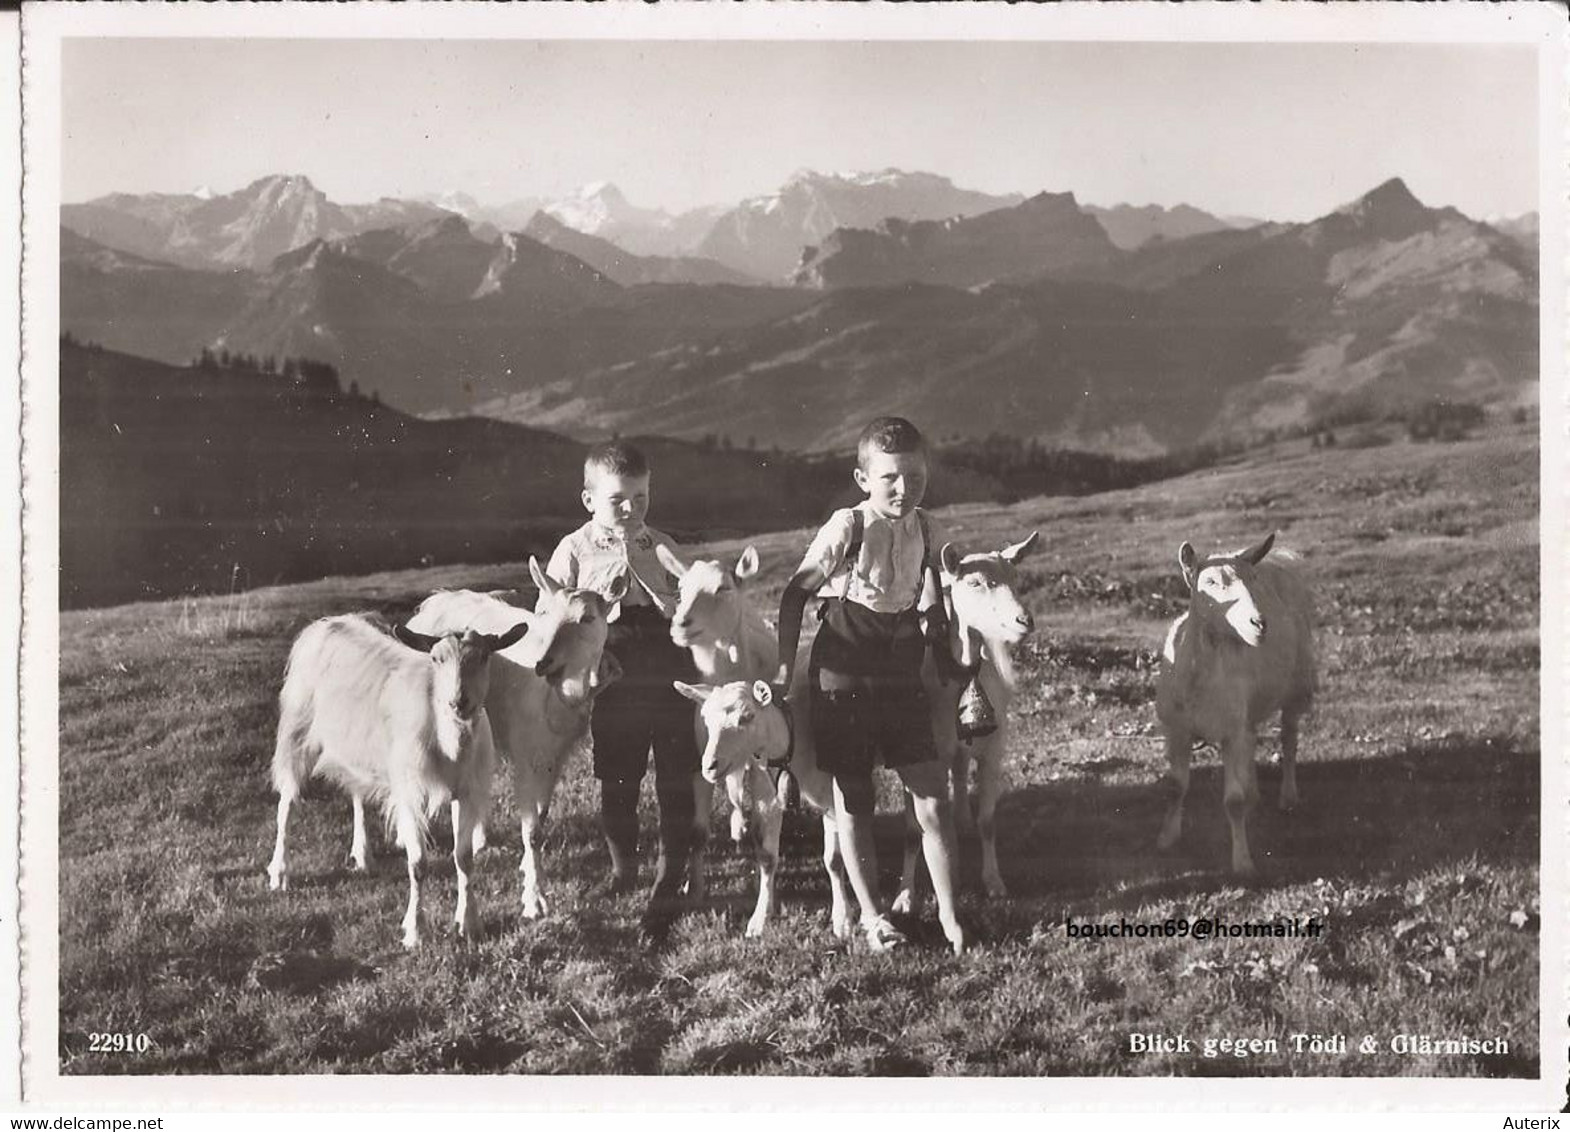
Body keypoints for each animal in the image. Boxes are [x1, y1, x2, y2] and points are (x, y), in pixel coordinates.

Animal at [270, 609, 533, 942]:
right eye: (436, 659)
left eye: (485, 656)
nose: (458, 702)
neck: (449, 744)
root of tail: (329, 622)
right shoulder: (410, 791)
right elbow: (418, 862)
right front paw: (414, 930)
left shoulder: (466, 790)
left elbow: (464, 858)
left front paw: (469, 922)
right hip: (297, 732)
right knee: (287, 802)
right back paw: (279, 872)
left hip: (362, 751)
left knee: (357, 793)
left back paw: (363, 855)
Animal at [405, 555, 624, 916]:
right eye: (544, 612)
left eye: (588, 618)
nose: (543, 662)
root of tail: (433, 601)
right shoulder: (525, 753)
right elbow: (531, 829)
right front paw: (534, 900)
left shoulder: (556, 755)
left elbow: (541, 816)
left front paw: (529, 872)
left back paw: (478, 837)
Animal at [668, 675, 854, 942]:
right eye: (705, 719)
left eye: (747, 717)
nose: (709, 766)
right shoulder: (768, 797)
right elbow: (766, 858)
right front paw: (760, 918)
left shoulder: (833, 793)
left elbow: (835, 860)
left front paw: (843, 919)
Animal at [891, 533, 1036, 916]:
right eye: (974, 583)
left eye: (1015, 578)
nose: (1024, 621)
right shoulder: (919, 756)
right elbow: (912, 830)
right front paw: (905, 895)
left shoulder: (993, 749)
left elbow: (988, 822)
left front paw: (994, 882)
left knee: (959, 769)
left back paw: (963, 821)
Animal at [1155, 530, 1312, 872]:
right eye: (1210, 582)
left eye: (1252, 579)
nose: (1259, 623)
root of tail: (1281, 557)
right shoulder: (1178, 730)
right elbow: (1175, 788)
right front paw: (1167, 838)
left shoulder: (1230, 732)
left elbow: (1233, 802)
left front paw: (1242, 861)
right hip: (1246, 710)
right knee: (1252, 739)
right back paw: (1255, 794)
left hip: (1297, 685)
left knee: (1289, 739)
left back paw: (1288, 797)